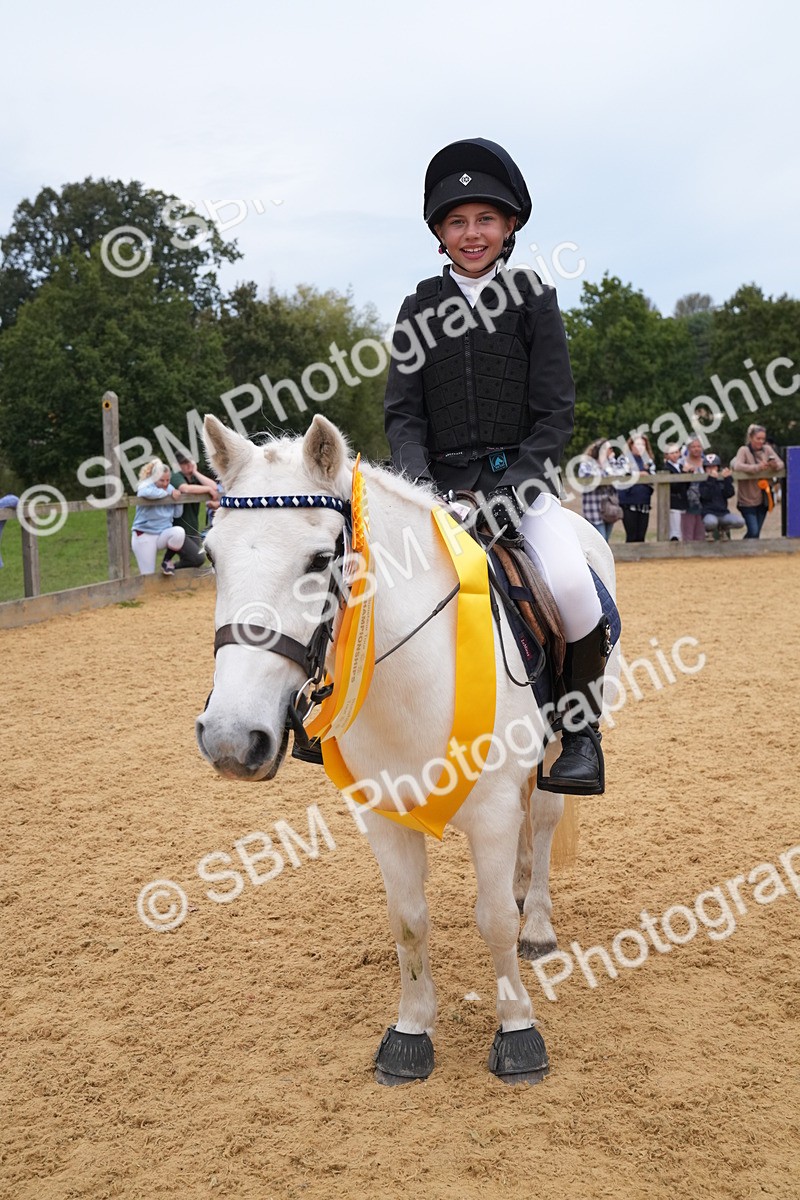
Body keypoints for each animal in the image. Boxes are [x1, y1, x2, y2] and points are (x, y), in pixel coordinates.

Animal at [196, 413, 618, 1085]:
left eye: (322, 559)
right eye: (212, 555)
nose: (233, 739)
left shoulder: (491, 812)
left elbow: (494, 921)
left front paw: (518, 1031)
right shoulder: (383, 815)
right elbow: (409, 922)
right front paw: (412, 1031)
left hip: (556, 748)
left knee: (546, 818)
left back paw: (538, 921)